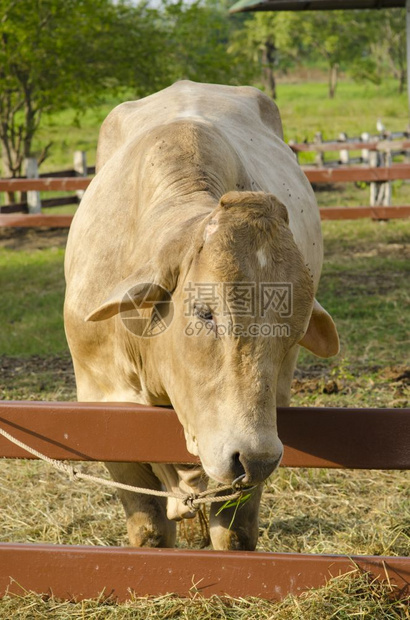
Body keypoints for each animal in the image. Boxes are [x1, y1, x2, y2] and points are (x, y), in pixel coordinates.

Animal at [65, 80, 340, 548]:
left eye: (294, 329)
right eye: (205, 313)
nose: (254, 456)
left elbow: (234, 533)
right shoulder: (103, 408)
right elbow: (149, 530)